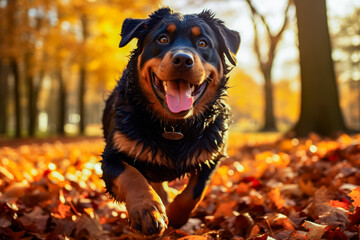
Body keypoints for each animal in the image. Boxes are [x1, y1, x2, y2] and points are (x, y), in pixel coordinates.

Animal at [101, 7, 240, 236]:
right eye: (163, 39)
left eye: (203, 43)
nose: (183, 59)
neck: (175, 127)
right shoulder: (111, 157)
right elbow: (131, 175)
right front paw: (148, 209)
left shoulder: (212, 155)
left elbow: (194, 193)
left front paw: (175, 216)